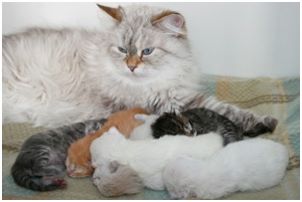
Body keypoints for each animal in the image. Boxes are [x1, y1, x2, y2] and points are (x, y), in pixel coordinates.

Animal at [2, 3, 278, 137]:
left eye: (147, 51)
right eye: (123, 50)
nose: (132, 67)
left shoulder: (181, 97)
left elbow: (230, 109)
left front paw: (262, 123)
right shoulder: (171, 103)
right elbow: (228, 111)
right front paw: (263, 124)